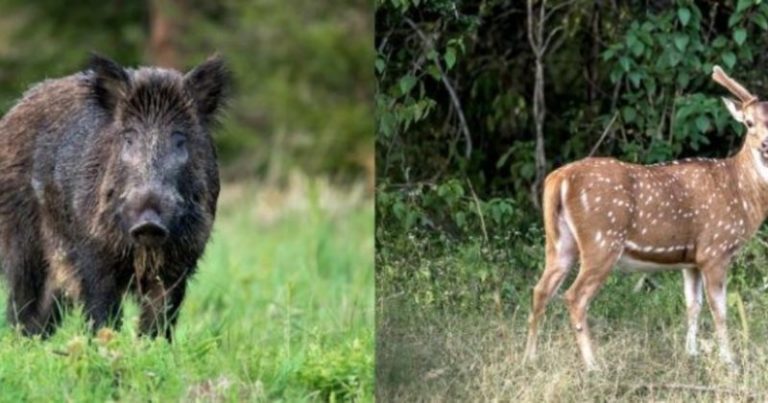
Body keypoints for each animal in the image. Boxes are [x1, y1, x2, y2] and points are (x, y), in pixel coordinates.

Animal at [524, 67, 768, 372]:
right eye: (748, 122)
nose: (765, 143)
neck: (742, 193)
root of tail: (558, 179)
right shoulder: (715, 249)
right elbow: (720, 310)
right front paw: (730, 363)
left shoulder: (692, 259)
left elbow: (693, 305)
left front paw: (691, 354)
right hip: (601, 240)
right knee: (574, 296)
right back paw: (593, 365)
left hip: (559, 242)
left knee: (540, 290)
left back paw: (530, 358)